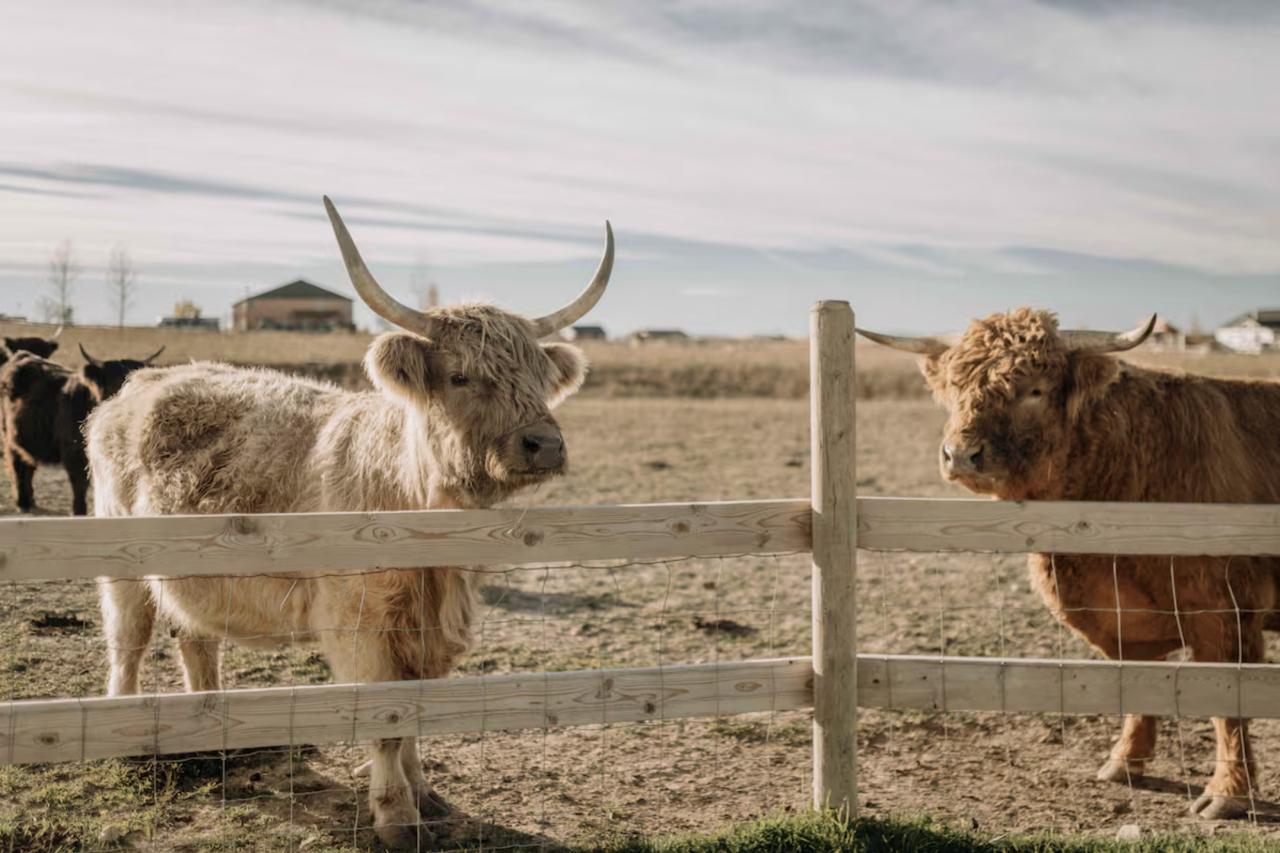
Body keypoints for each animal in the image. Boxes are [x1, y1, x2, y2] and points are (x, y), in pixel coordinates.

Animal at [0, 343, 164, 515]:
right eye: (111, 383)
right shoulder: (74, 453)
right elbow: (79, 484)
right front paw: (79, 512)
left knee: (28, 466)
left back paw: (30, 501)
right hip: (9, 437)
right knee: (17, 465)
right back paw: (22, 503)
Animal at [85, 197, 614, 849]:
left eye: (539, 380)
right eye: (460, 375)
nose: (545, 445)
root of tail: (142, 384)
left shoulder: (426, 631)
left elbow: (412, 714)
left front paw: (424, 793)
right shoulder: (358, 625)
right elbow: (386, 720)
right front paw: (395, 814)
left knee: (194, 636)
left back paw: (214, 733)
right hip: (120, 562)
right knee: (128, 640)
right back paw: (129, 735)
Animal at [856, 307, 1280, 820]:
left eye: (1035, 390)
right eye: (957, 386)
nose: (960, 454)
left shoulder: (1224, 612)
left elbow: (1228, 707)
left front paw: (1228, 793)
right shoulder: (1121, 616)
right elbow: (1137, 683)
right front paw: (1124, 762)